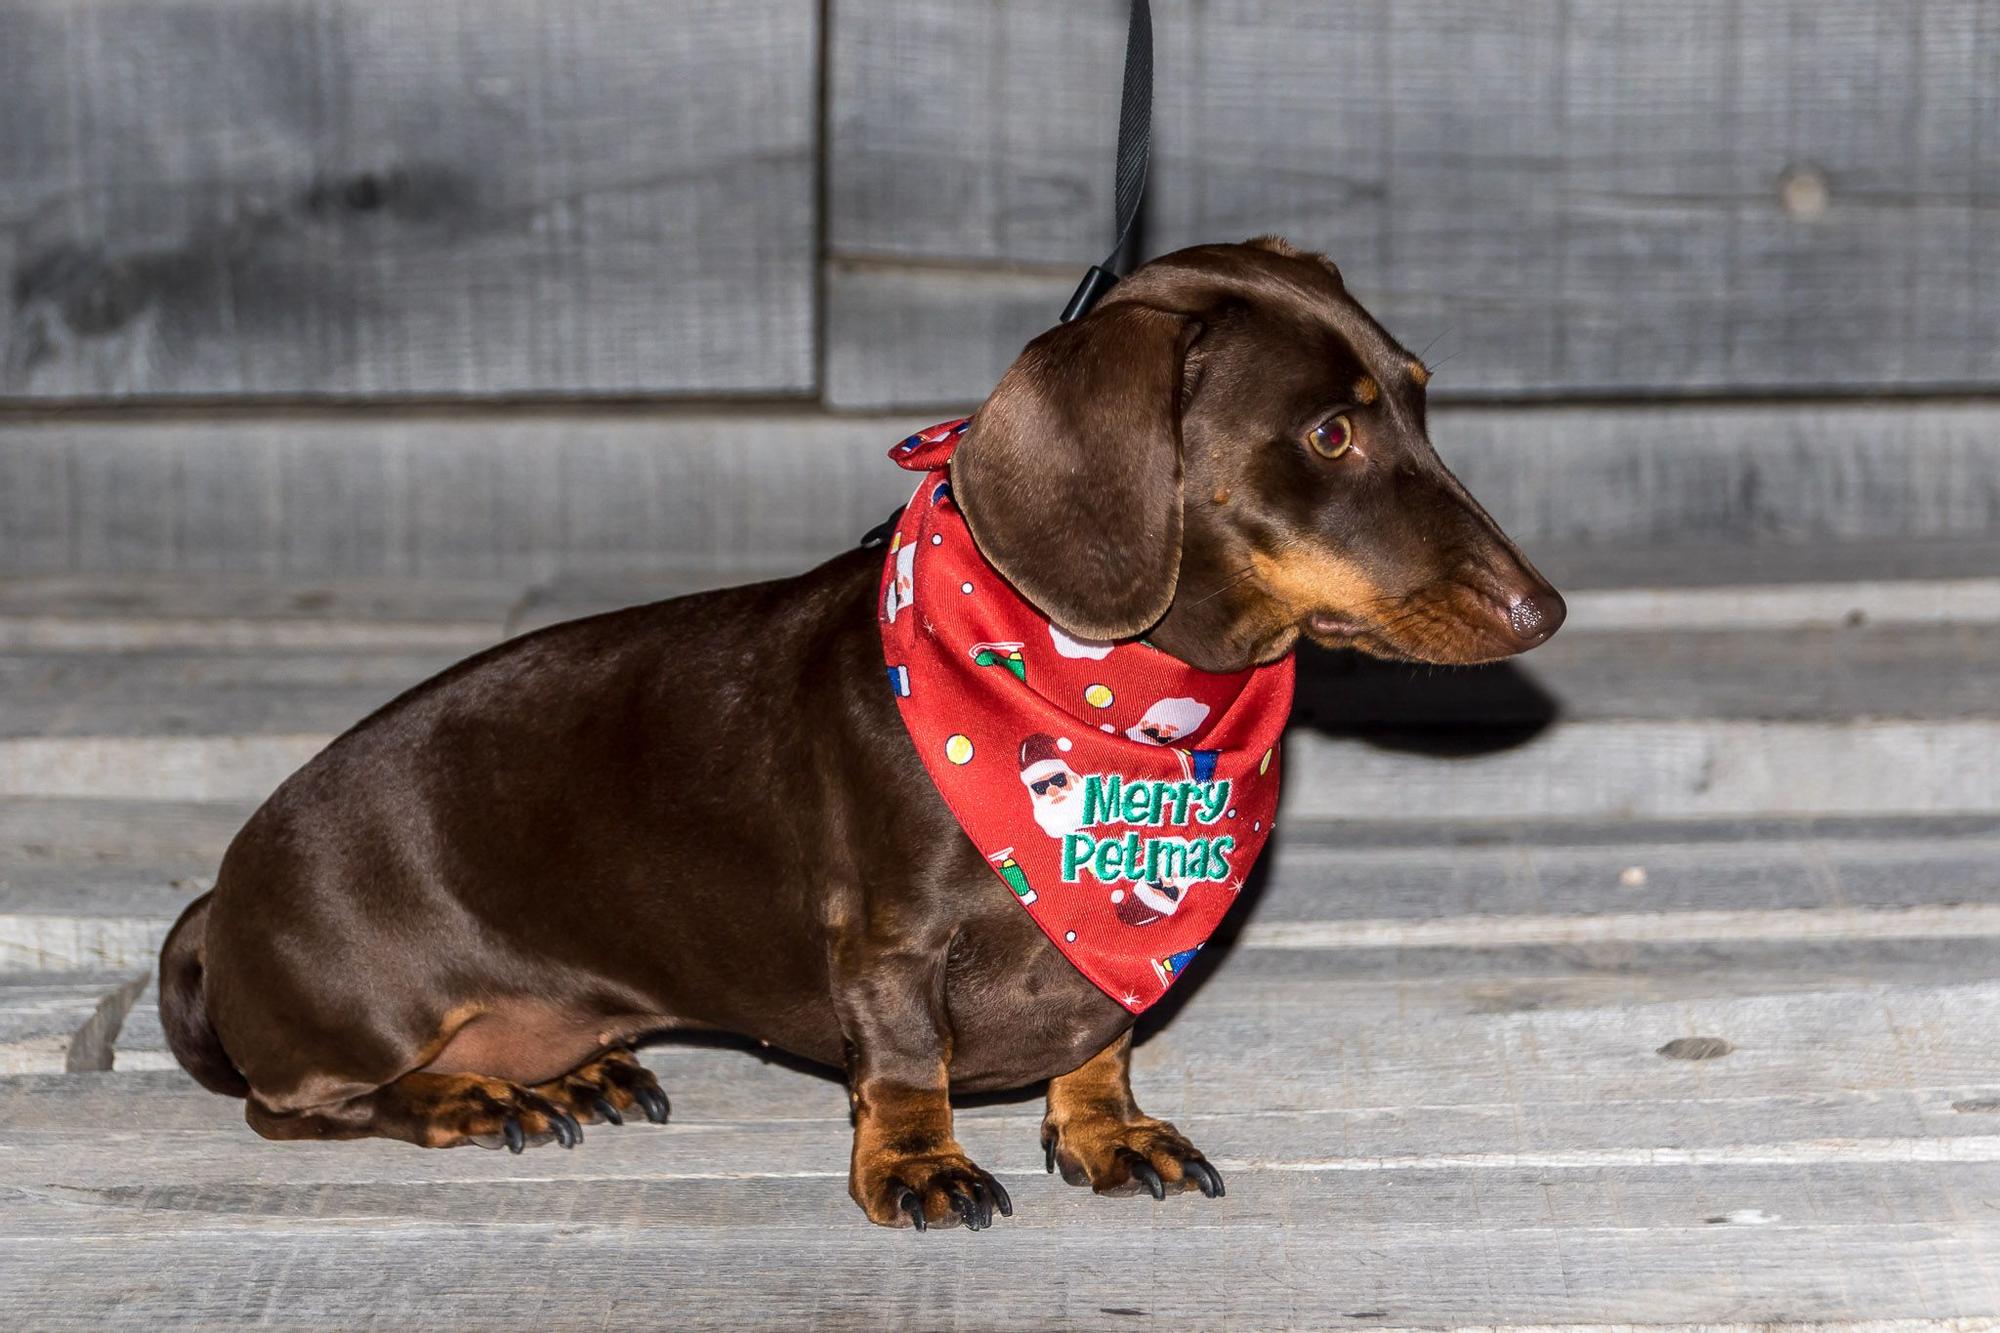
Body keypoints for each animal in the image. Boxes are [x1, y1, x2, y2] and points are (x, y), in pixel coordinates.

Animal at [156, 236, 1560, 1224]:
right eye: (1327, 431)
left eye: (1419, 397)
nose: (1542, 610)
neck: (1117, 709)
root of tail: (219, 902)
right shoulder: (884, 942)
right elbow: (901, 1063)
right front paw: (918, 1166)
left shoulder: (1105, 963)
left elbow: (1103, 1030)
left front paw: (1105, 1129)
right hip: (358, 1016)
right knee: (295, 1106)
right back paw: (462, 1095)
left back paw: (576, 1072)